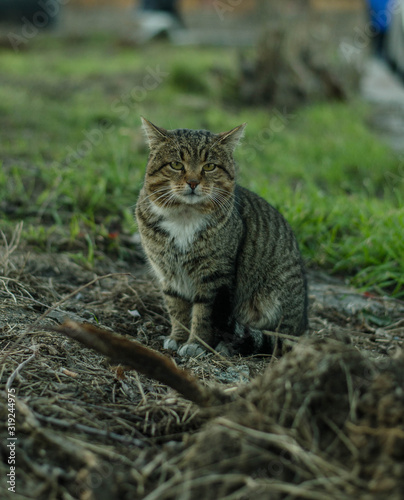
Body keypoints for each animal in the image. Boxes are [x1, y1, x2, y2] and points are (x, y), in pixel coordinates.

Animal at [134, 117, 308, 356]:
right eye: (176, 164)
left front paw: (196, 344)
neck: (185, 218)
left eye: (209, 166)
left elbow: (204, 315)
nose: (193, 182)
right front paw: (178, 338)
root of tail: (301, 327)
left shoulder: (214, 277)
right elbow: (177, 310)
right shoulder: (168, 274)